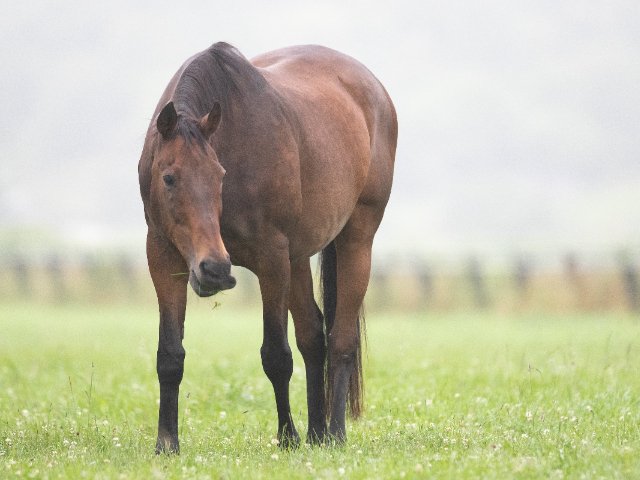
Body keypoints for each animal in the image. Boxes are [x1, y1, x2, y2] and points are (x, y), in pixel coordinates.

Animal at [138, 42, 397, 453]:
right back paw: (317, 433)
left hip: (357, 240)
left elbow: (276, 355)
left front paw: (287, 436)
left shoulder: (271, 259)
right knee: (314, 336)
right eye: (168, 178)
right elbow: (170, 355)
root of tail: (374, 89)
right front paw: (167, 443)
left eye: (220, 176)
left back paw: (334, 433)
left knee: (341, 339)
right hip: (299, 258)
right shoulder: (163, 258)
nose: (214, 270)